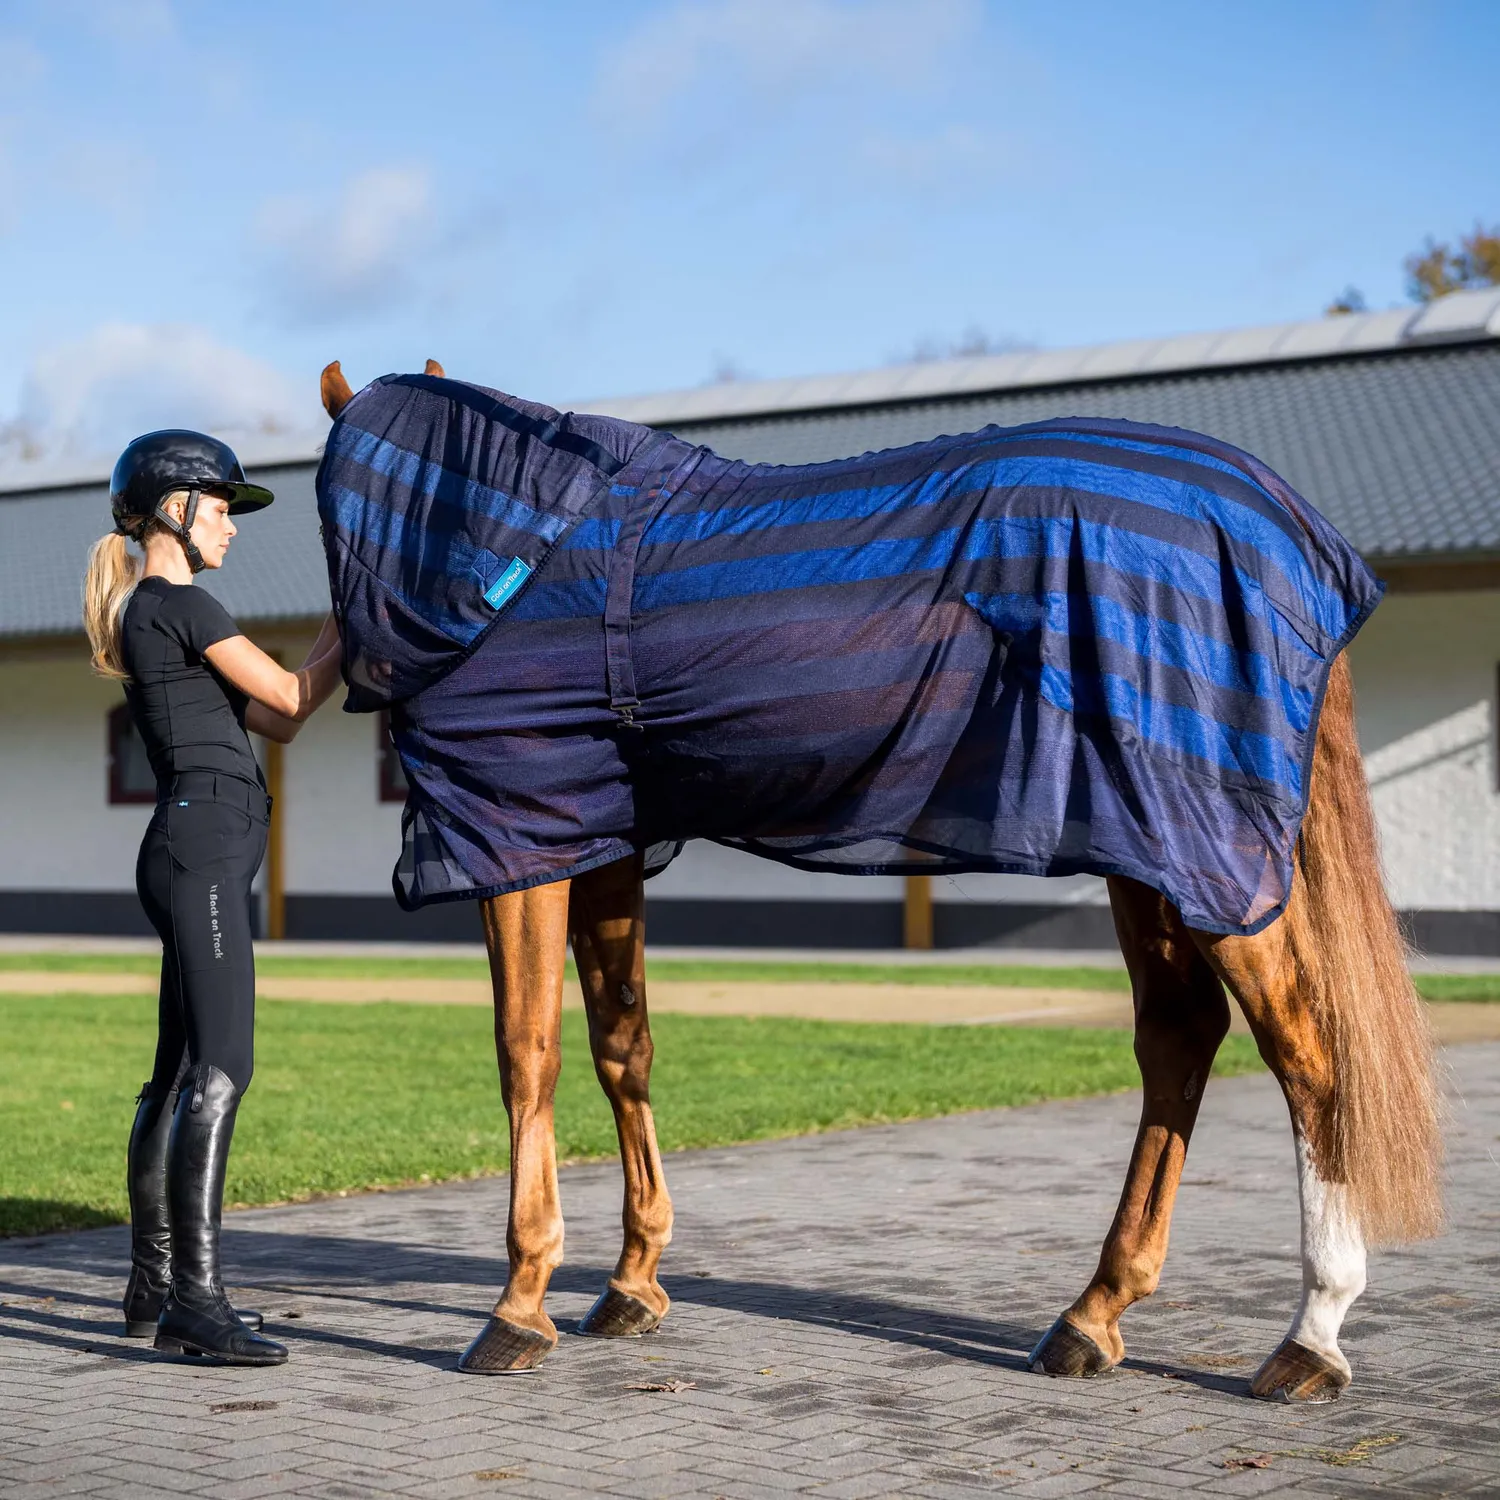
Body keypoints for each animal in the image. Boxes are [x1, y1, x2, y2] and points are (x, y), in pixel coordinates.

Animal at [317, 358, 1441, 1402]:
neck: (526, 541)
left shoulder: (520, 838)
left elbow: (527, 1056)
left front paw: (518, 1306)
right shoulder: (598, 843)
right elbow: (619, 1047)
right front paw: (631, 1284)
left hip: (1204, 853)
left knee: (1307, 1054)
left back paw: (1309, 1336)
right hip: (1145, 848)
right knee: (1179, 1039)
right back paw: (1094, 1315)